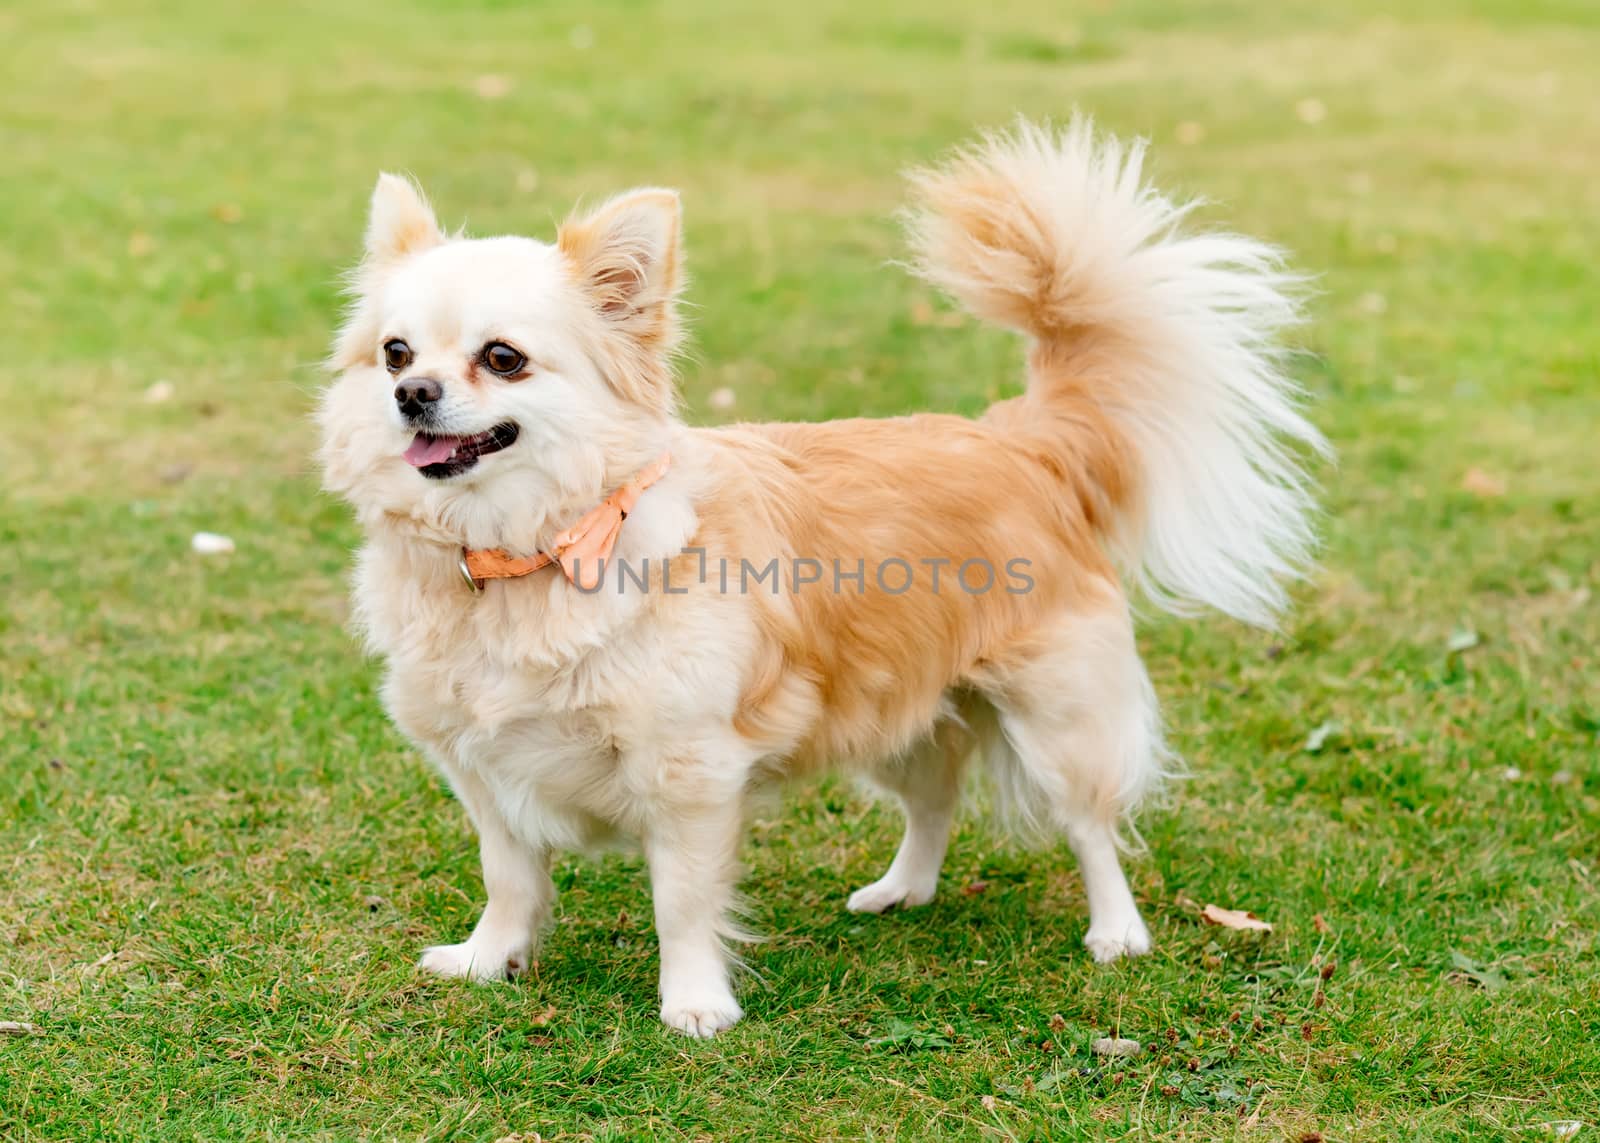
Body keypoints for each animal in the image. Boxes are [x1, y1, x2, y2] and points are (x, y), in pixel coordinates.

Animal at [315, 116, 1324, 1030]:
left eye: (503, 359)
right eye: (395, 353)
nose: (411, 394)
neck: (523, 550)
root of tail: (1017, 436)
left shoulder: (688, 776)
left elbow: (682, 903)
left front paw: (695, 1004)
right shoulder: (484, 772)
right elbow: (509, 878)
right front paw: (489, 960)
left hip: (1056, 714)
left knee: (1090, 825)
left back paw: (1117, 931)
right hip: (899, 707)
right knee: (935, 797)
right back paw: (902, 889)